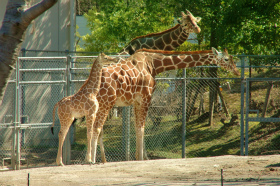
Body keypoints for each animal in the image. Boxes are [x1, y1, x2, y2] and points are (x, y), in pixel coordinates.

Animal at [91, 47, 240, 163]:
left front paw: (141, 157)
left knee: (97, 129)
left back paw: (100, 160)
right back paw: (92, 160)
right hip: (105, 102)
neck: (153, 65)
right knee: (96, 128)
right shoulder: (145, 98)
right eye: (226, 59)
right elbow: (141, 129)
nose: (237, 72)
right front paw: (141, 158)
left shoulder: (136, 101)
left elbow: (138, 128)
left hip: (99, 105)